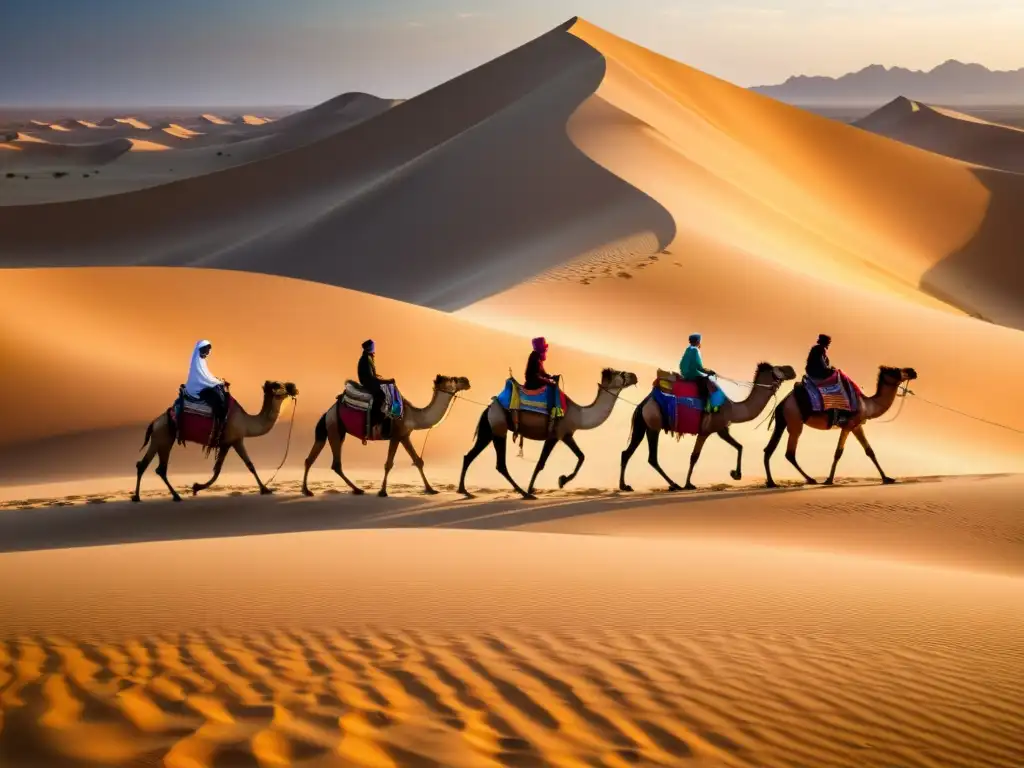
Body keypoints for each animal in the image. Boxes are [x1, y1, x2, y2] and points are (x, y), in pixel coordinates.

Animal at [132, 380, 296, 505]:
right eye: (278, 385)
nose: (293, 386)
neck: (246, 422)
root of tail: (154, 422)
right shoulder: (236, 440)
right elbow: (248, 465)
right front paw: (265, 489)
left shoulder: (225, 444)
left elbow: (217, 470)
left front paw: (196, 487)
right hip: (162, 438)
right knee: (155, 467)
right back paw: (152, 496)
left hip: (161, 439)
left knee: (151, 466)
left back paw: (150, 496)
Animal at [299, 374, 468, 499]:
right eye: (453, 379)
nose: (467, 380)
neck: (412, 415)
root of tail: (328, 412)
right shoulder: (396, 436)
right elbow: (389, 464)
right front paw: (382, 492)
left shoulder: (404, 436)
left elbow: (418, 461)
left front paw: (430, 489)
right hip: (335, 429)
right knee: (336, 464)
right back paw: (354, 489)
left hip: (331, 429)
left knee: (311, 459)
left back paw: (309, 490)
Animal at [458, 370, 634, 501]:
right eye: (622, 373)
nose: (634, 376)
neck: (579, 415)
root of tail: (489, 408)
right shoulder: (557, 435)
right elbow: (544, 463)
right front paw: (547, 484)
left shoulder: (566, 435)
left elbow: (578, 457)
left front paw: (555, 482)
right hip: (499, 427)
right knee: (500, 464)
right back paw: (524, 493)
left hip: (489, 430)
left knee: (469, 456)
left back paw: (463, 490)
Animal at [618, 362, 794, 493]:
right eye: (779, 368)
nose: (792, 370)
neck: (733, 408)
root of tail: (643, 404)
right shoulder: (708, 430)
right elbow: (694, 457)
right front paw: (688, 484)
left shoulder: (721, 429)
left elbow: (739, 446)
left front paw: (735, 474)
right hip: (653, 424)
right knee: (652, 458)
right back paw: (674, 484)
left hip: (643, 425)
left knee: (627, 453)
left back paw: (625, 486)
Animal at [761, 366, 921, 487]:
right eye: (896, 370)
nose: (913, 371)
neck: (867, 405)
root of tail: (782, 403)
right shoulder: (848, 425)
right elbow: (838, 453)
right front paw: (829, 480)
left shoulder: (856, 426)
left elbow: (870, 451)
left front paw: (887, 478)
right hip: (795, 422)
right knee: (790, 453)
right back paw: (810, 479)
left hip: (783, 422)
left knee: (769, 449)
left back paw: (771, 482)